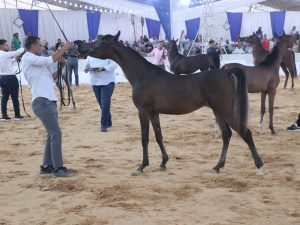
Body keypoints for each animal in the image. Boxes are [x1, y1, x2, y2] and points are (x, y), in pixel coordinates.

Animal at [85, 31, 264, 176]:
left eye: (103, 42)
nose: (84, 49)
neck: (143, 75)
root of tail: (226, 73)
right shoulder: (154, 112)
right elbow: (159, 136)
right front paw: (164, 162)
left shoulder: (143, 111)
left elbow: (145, 138)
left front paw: (142, 166)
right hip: (218, 112)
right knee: (227, 135)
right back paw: (218, 166)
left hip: (225, 111)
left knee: (245, 133)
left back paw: (259, 166)